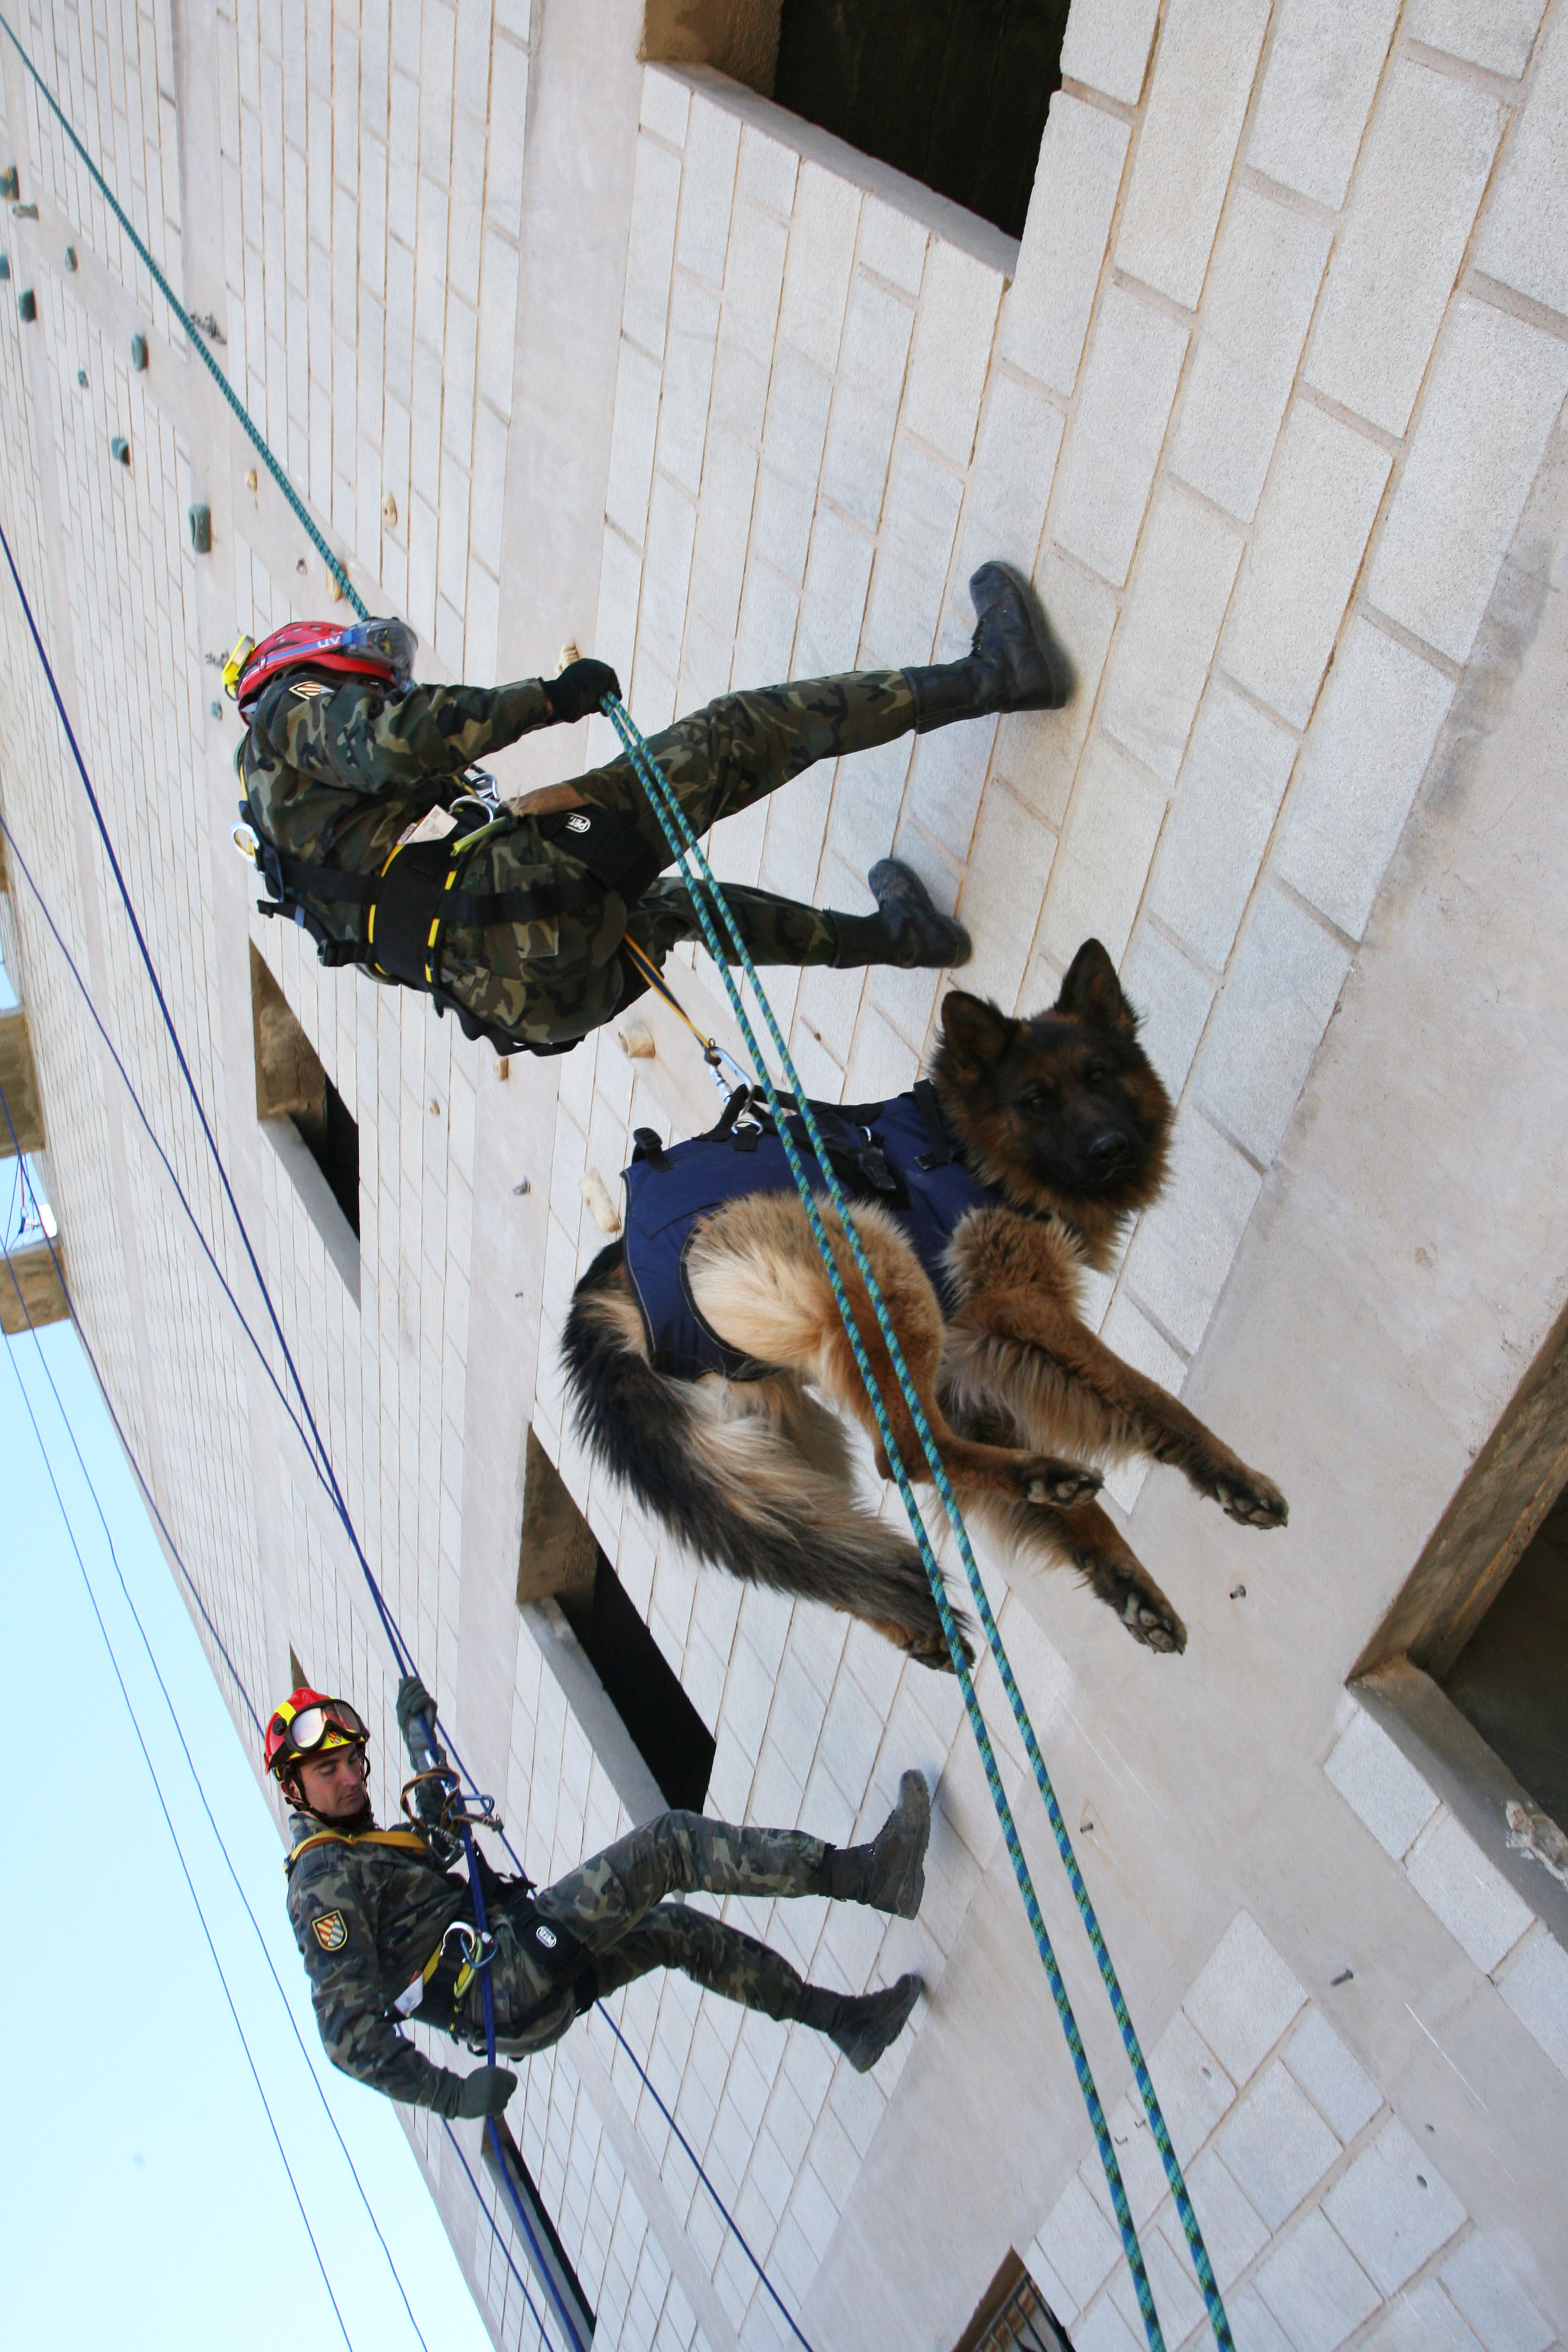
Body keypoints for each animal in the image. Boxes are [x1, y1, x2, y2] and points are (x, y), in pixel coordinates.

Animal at [561, 940, 1287, 1669]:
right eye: (1037, 1100)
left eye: (1100, 1076)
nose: (1110, 1149)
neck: (972, 1148)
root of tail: (615, 1277)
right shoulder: (1022, 1307)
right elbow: (1146, 1397)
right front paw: (1232, 1478)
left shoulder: (965, 1373)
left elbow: (1081, 1517)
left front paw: (1127, 1583)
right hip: (881, 1261)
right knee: (904, 1456)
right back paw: (1041, 1474)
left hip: (787, 1429)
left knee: (801, 1530)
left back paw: (915, 1617)